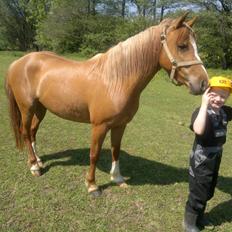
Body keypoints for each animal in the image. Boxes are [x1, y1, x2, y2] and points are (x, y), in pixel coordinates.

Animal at [5, 14, 208, 196]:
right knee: (25, 132)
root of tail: (19, 62)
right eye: (182, 46)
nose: (203, 83)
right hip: (27, 108)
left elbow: (115, 150)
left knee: (32, 131)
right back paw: (34, 166)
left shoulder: (120, 125)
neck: (115, 80)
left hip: (41, 109)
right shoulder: (99, 126)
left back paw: (38, 160)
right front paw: (92, 185)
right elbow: (94, 154)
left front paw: (117, 178)